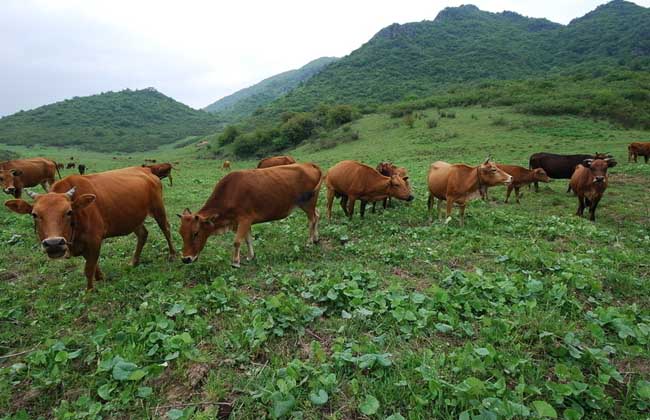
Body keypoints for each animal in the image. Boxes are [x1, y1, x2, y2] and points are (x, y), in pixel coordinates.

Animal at [3, 167, 176, 288]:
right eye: (34, 214)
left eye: (69, 212)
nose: (53, 244)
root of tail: (146, 170)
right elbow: (92, 264)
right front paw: (100, 277)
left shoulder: (94, 240)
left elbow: (88, 268)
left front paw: (90, 291)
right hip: (131, 217)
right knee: (143, 234)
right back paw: (134, 262)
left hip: (158, 209)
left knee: (166, 229)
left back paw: (172, 255)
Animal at [177, 162, 322, 268]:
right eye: (181, 233)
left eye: (196, 233)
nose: (185, 259)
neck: (229, 194)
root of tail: (309, 164)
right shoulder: (244, 222)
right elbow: (248, 240)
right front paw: (251, 256)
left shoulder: (244, 220)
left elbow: (237, 241)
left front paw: (235, 262)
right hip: (310, 205)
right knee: (317, 215)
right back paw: (316, 239)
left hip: (308, 203)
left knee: (312, 219)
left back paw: (309, 242)